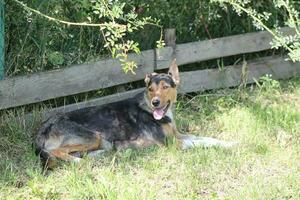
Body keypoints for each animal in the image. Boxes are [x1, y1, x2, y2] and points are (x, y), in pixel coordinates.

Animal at [35, 59, 237, 169]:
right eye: (150, 89)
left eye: (165, 87)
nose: (156, 102)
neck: (150, 108)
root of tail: (44, 127)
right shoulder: (171, 144)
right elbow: (201, 143)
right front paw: (228, 146)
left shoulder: (179, 135)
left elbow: (205, 138)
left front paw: (228, 142)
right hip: (92, 136)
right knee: (55, 151)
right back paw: (79, 162)